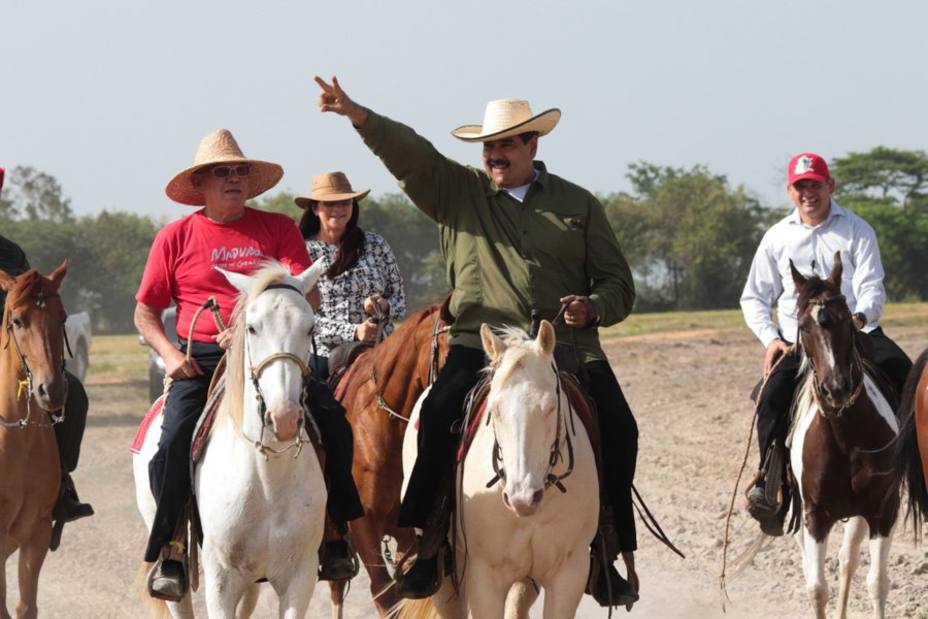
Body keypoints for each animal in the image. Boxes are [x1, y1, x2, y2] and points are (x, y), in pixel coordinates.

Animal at [134, 262, 330, 619]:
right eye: (251, 328)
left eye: (310, 328)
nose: (283, 417)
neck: (268, 476)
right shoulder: (221, 579)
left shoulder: (300, 576)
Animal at [788, 253, 896, 619]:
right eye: (803, 326)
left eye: (846, 319)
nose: (836, 388)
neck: (845, 435)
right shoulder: (814, 515)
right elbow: (817, 588)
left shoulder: (882, 510)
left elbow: (877, 583)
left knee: (848, 560)